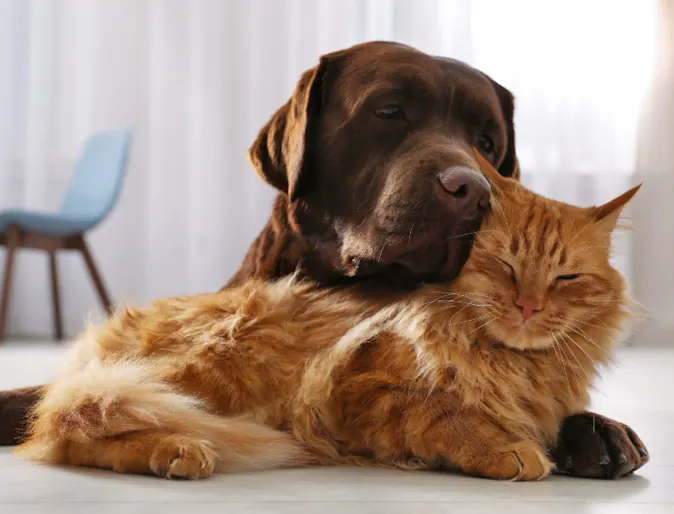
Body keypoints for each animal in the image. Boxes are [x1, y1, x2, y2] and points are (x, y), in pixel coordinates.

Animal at [0, 41, 644, 480]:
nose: (473, 191)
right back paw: (177, 447)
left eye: (488, 143)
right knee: (80, 412)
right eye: (389, 111)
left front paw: (595, 432)